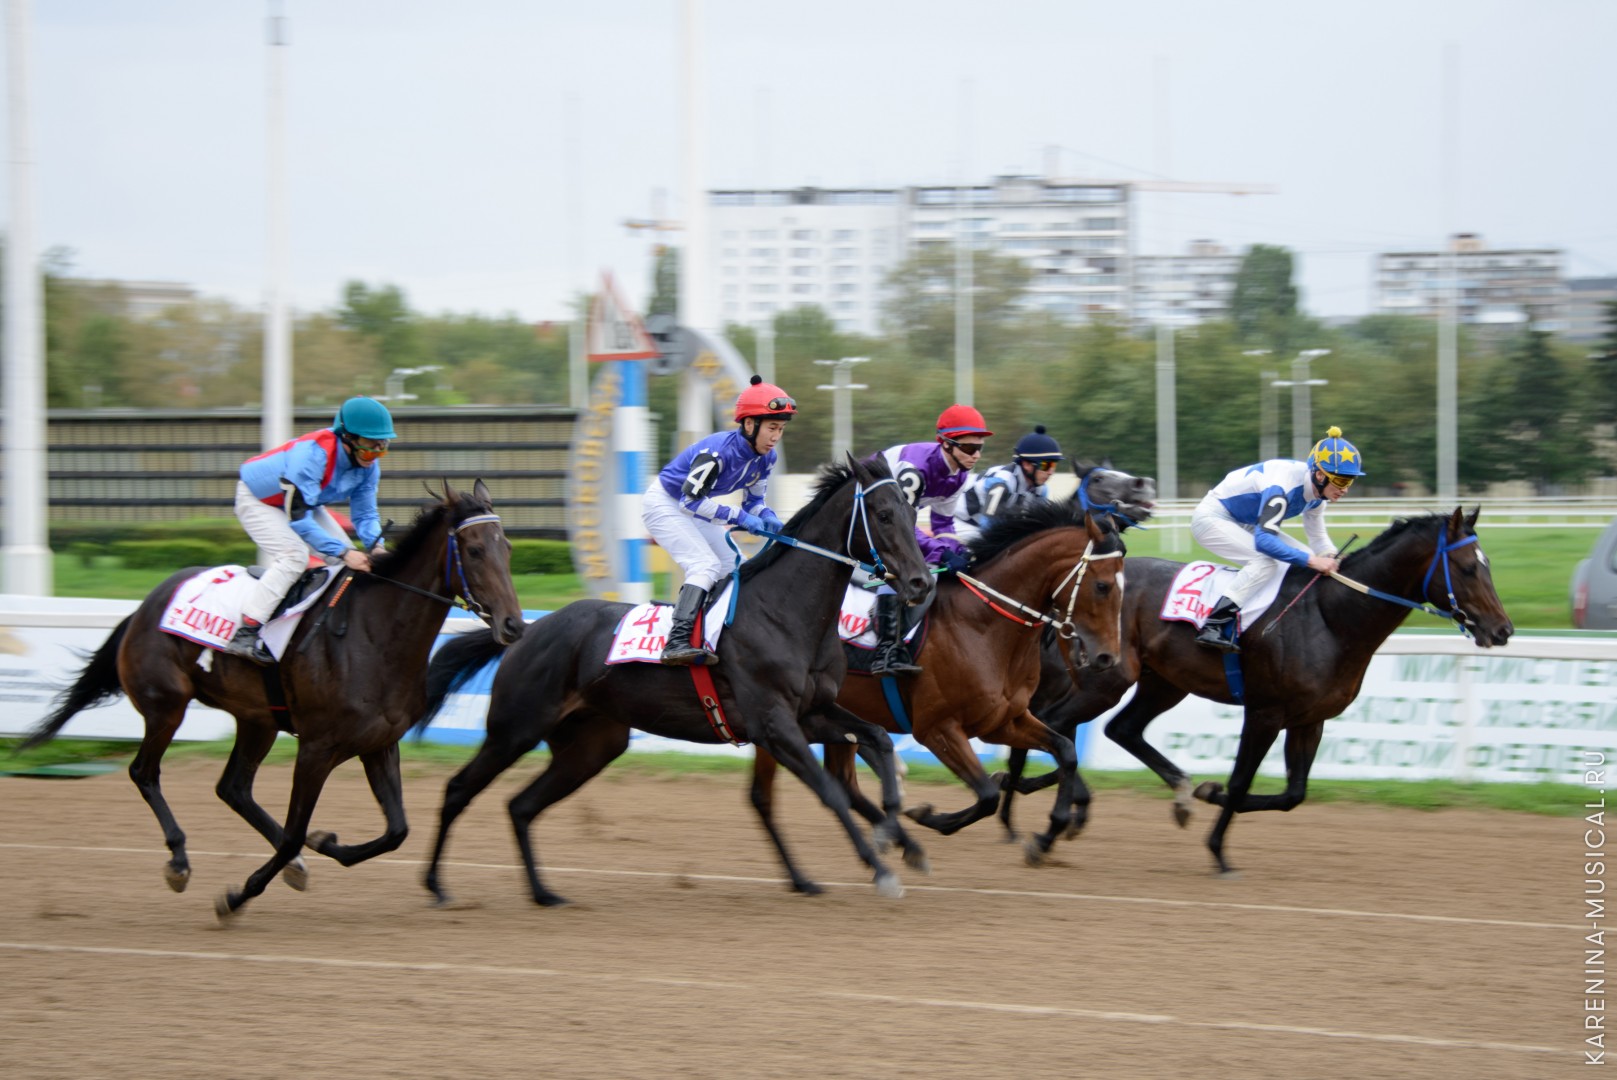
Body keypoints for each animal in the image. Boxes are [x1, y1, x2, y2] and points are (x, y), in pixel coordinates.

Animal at [20, 481, 523, 918]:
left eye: (508, 548)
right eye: (474, 550)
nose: (514, 625)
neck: (373, 634)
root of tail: (145, 606)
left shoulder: (379, 743)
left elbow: (396, 830)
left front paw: (324, 845)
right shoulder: (317, 747)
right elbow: (297, 831)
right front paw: (238, 895)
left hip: (256, 720)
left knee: (233, 788)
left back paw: (287, 865)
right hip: (167, 706)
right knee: (145, 772)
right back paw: (179, 861)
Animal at [410, 452, 931, 905]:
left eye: (912, 512)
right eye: (884, 514)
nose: (921, 582)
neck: (784, 613)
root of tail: (526, 630)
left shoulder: (810, 713)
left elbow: (878, 738)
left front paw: (896, 833)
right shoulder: (774, 725)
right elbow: (831, 792)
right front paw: (881, 868)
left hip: (591, 744)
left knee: (520, 806)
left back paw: (543, 892)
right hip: (515, 728)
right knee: (459, 789)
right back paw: (435, 884)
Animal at [743, 497, 1125, 885]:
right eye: (1103, 586)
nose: (1108, 657)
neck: (983, 626)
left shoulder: (1004, 721)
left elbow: (1065, 753)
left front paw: (1047, 836)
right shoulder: (937, 728)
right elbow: (987, 794)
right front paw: (930, 816)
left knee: (844, 783)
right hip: (780, 718)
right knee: (776, 793)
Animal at [996, 507, 1513, 879]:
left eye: (1488, 565)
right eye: (1468, 568)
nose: (1502, 630)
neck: (1330, 618)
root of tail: (1064, 599)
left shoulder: (1310, 719)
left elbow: (1292, 794)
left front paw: (1207, 792)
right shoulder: (1265, 712)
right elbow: (1244, 780)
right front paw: (1218, 849)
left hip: (1165, 682)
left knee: (1118, 729)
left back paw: (1168, 794)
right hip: (1108, 677)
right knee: (1057, 724)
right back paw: (1049, 819)